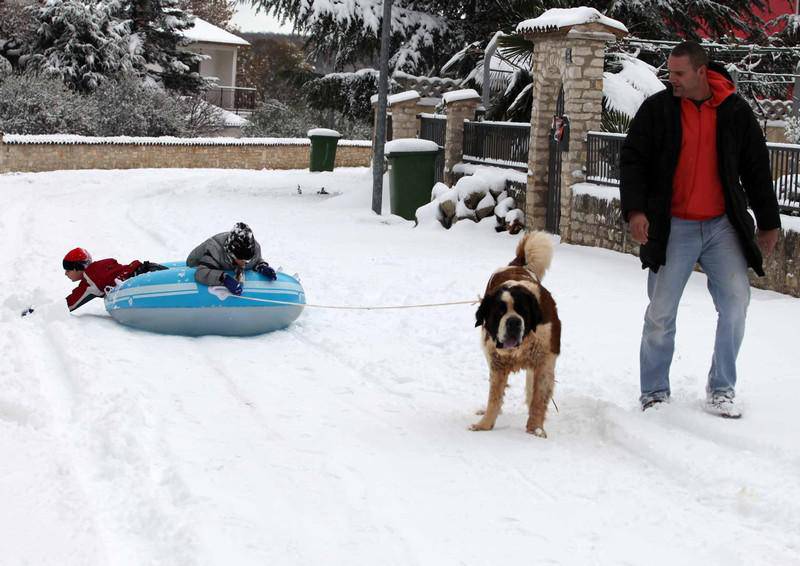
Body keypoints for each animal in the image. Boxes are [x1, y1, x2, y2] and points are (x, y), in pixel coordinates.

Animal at [472, 231, 560, 440]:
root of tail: (517, 264)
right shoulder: (497, 363)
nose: (513, 321)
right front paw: (485, 424)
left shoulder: (545, 360)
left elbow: (539, 398)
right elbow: (495, 396)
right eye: (499, 313)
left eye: (523, 312)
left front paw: (535, 430)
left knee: (531, 387)